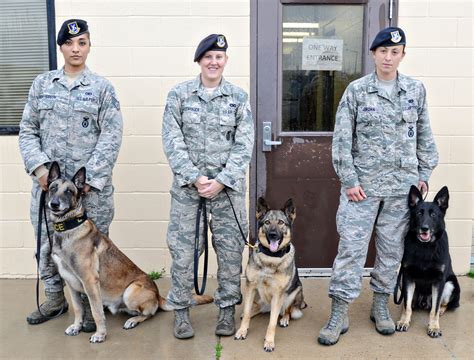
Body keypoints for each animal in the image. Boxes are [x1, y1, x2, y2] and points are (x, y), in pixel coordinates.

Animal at [46, 163, 211, 344]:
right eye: (53, 188)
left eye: (69, 191)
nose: (54, 204)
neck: (68, 228)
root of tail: (158, 295)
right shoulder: (71, 283)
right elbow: (77, 308)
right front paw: (76, 326)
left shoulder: (90, 282)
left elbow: (97, 312)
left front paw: (100, 334)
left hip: (130, 292)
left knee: (149, 314)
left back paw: (133, 320)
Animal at [234, 197, 308, 352]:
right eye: (267, 222)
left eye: (281, 222)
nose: (273, 235)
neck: (271, 257)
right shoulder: (251, 287)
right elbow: (247, 313)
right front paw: (242, 331)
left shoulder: (279, 294)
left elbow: (272, 323)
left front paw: (269, 342)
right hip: (258, 297)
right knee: (254, 309)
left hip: (294, 291)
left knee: (288, 310)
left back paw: (284, 318)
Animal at [396, 186, 460, 338]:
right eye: (419, 213)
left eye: (434, 215)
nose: (424, 228)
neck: (425, 247)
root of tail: (424, 302)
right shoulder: (407, 277)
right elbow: (407, 305)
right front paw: (404, 321)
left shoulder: (439, 281)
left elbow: (434, 310)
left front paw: (434, 327)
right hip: (402, 281)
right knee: (408, 303)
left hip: (450, 284)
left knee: (442, 304)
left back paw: (441, 311)